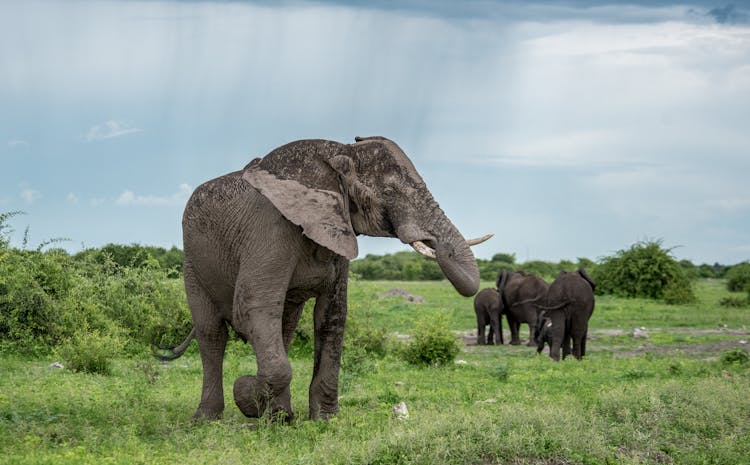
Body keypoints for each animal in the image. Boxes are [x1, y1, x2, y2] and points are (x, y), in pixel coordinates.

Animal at [156, 136, 490, 422]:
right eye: (389, 193)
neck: (336, 155)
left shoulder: (337, 230)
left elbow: (332, 315)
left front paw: (325, 420)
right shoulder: (270, 229)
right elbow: (253, 306)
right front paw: (248, 396)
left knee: (284, 328)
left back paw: (281, 418)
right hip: (192, 261)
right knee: (212, 333)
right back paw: (208, 418)